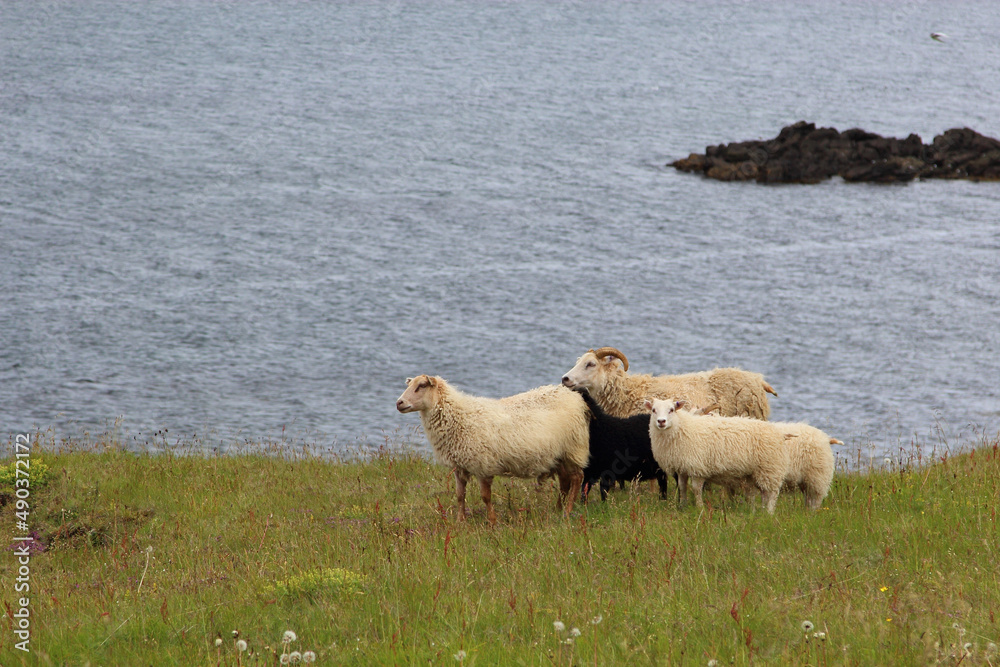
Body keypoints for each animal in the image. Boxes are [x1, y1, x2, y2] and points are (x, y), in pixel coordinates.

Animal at [395, 375, 590, 523]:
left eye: (421, 386)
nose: (399, 403)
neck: (459, 416)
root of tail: (573, 396)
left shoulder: (483, 464)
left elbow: (485, 497)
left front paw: (492, 521)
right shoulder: (459, 465)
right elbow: (459, 495)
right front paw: (460, 521)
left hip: (573, 448)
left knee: (577, 478)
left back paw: (567, 512)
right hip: (559, 454)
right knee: (565, 481)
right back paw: (557, 509)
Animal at [645, 398, 791, 514]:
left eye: (671, 410)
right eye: (653, 410)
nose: (661, 421)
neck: (683, 427)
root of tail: (778, 432)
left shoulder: (697, 468)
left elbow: (696, 489)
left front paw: (700, 508)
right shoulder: (682, 467)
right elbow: (682, 487)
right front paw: (683, 506)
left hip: (770, 468)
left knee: (772, 493)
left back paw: (769, 513)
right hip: (759, 471)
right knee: (764, 493)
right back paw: (761, 511)